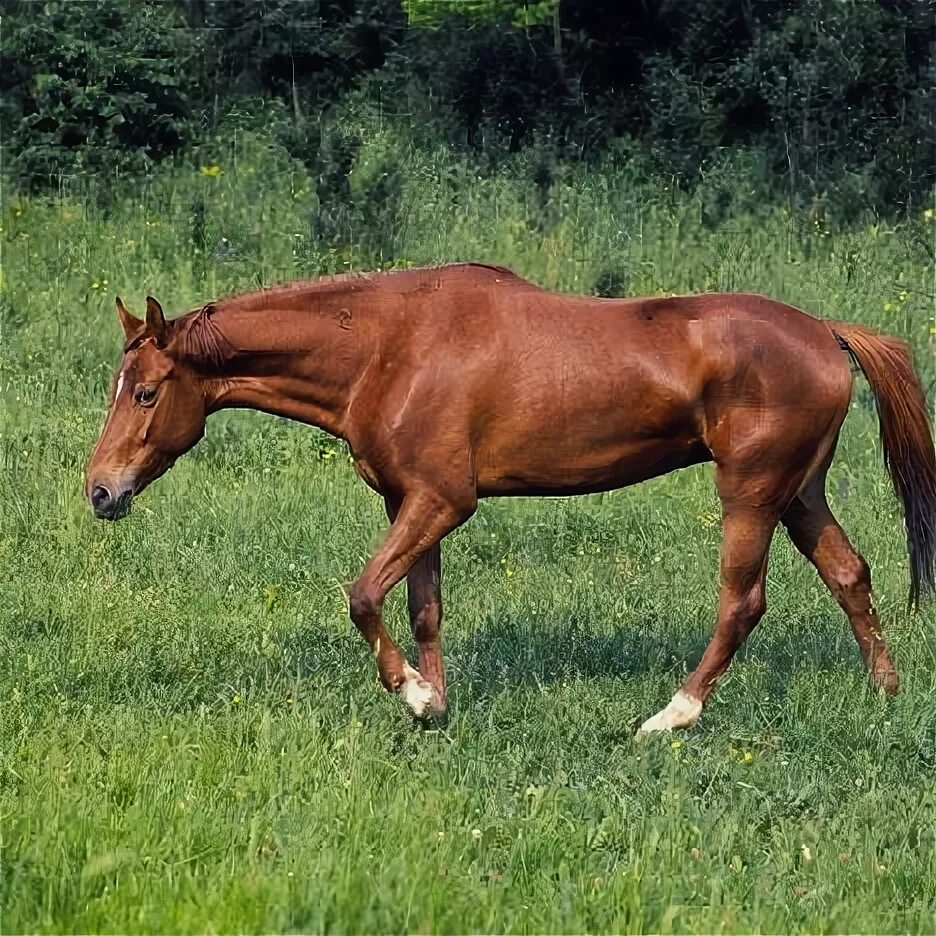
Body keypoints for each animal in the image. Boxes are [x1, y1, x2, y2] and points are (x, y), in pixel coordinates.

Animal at [84, 260, 932, 736]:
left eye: (148, 391)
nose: (100, 490)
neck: (389, 346)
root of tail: (826, 333)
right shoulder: (410, 504)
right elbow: (422, 608)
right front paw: (436, 703)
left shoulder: (443, 501)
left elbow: (363, 595)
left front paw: (416, 697)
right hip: (799, 493)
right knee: (850, 574)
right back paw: (886, 694)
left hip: (751, 494)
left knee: (743, 602)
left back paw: (671, 717)